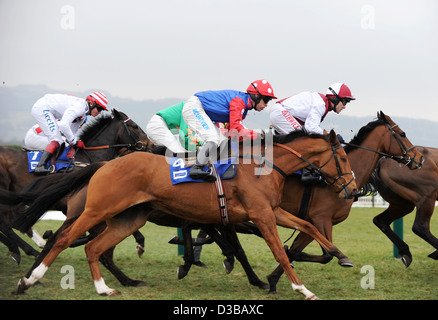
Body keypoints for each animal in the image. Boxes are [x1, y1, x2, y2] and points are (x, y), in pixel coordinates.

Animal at [0, 109, 149, 264]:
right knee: (6, 224)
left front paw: (140, 241)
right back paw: (23, 250)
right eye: (134, 126)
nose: (150, 144)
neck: (86, 158)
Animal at [18, 130, 358, 300]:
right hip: (98, 209)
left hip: (130, 218)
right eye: (342, 158)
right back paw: (29, 279)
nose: (353, 190)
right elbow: (280, 252)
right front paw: (303, 289)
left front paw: (340, 255)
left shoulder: (272, 211)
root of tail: (106, 163)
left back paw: (104, 288)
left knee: (93, 247)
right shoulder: (261, 215)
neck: (262, 166)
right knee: (64, 239)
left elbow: (309, 228)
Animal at [266, 111, 422, 294]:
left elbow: (299, 248)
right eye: (402, 134)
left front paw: (272, 280)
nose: (420, 158)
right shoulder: (321, 218)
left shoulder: (316, 221)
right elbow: (325, 254)